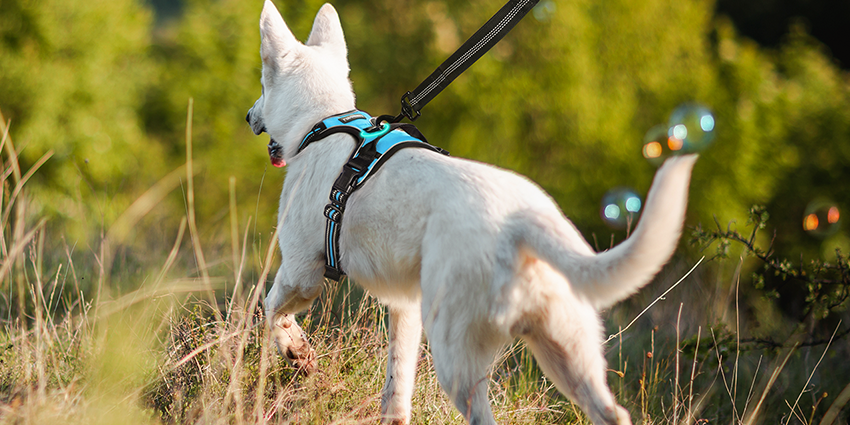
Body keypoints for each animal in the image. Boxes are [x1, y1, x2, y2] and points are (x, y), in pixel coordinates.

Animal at [245, 1, 696, 422]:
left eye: (264, 85)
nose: (248, 116)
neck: (323, 119)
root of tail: (523, 223)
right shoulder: (405, 306)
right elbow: (397, 388)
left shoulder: (302, 273)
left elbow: (270, 310)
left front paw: (297, 352)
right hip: (567, 352)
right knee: (612, 412)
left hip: (457, 356)